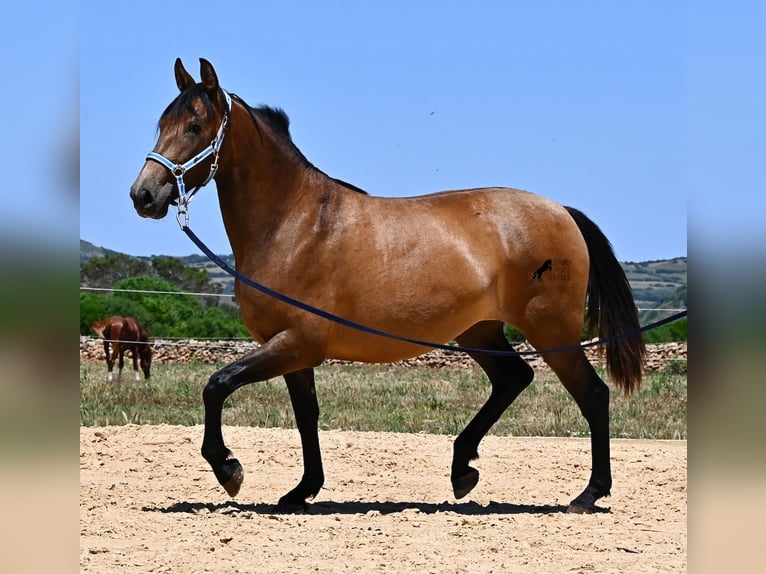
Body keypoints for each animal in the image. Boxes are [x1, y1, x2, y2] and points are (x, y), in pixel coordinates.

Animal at [129, 58, 645, 514]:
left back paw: (588, 494)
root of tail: (562, 212)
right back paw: (462, 470)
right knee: (513, 379)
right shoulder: (292, 349)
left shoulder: (295, 342)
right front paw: (302, 490)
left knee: (592, 395)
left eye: (194, 126)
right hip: (479, 330)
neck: (293, 223)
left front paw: (229, 470)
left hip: (551, 330)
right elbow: (306, 415)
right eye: (161, 124)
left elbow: (217, 385)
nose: (144, 195)